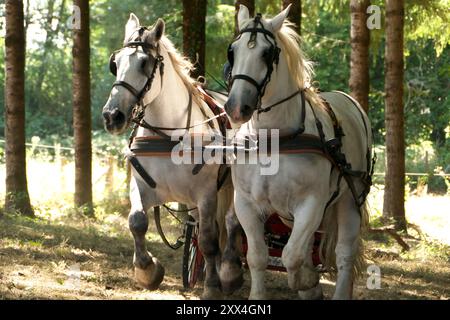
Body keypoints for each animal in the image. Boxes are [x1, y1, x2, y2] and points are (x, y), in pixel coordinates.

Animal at [101, 13, 243, 298]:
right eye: (115, 63)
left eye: (145, 63)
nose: (112, 116)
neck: (168, 136)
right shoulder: (143, 186)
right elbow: (137, 221)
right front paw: (148, 271)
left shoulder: (206, 193)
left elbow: (209, 239)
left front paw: (212, 286)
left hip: (231, 185)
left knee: (231, 222)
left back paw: (229, 273)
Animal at [221, 5, 372, 300]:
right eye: (232, 51)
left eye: (267, 53)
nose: (236, 107)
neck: (273, 139)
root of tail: (350, 101)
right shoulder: (246, 203)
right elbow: (257, 256)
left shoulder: (311, 203)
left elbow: (291, 255)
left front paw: (307, 282)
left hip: (350, 200)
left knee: (343, 254)